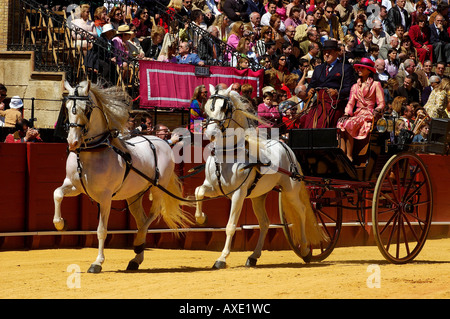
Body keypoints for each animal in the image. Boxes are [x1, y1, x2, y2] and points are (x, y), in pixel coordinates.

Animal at [54, 81, 190, 274]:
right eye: (66, 108)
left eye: (86, 109)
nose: (72, 142)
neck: (91, 152)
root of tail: (162, 142)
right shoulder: (74, 186)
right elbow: (57, 194)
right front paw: (61, 224)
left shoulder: (105, 198)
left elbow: (101, 230)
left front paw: (97, 263)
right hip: (134, 196)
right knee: (141, 219)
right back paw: (136, 259)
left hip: (157, 188)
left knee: (152, 214)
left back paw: (138, 242)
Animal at [193, 85, 326, 270]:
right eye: (207, 109)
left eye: (224, 108)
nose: (210, 134)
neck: (228, 154)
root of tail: (285, 146)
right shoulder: (213, 187)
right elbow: (198, 191)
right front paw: (201, 218)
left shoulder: (238, 194)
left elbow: (230, 226)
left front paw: (221, 258)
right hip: (258, 196)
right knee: (264, 222)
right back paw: (253, 256)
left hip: (290, 190)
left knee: (301, 210)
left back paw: (306, 250)